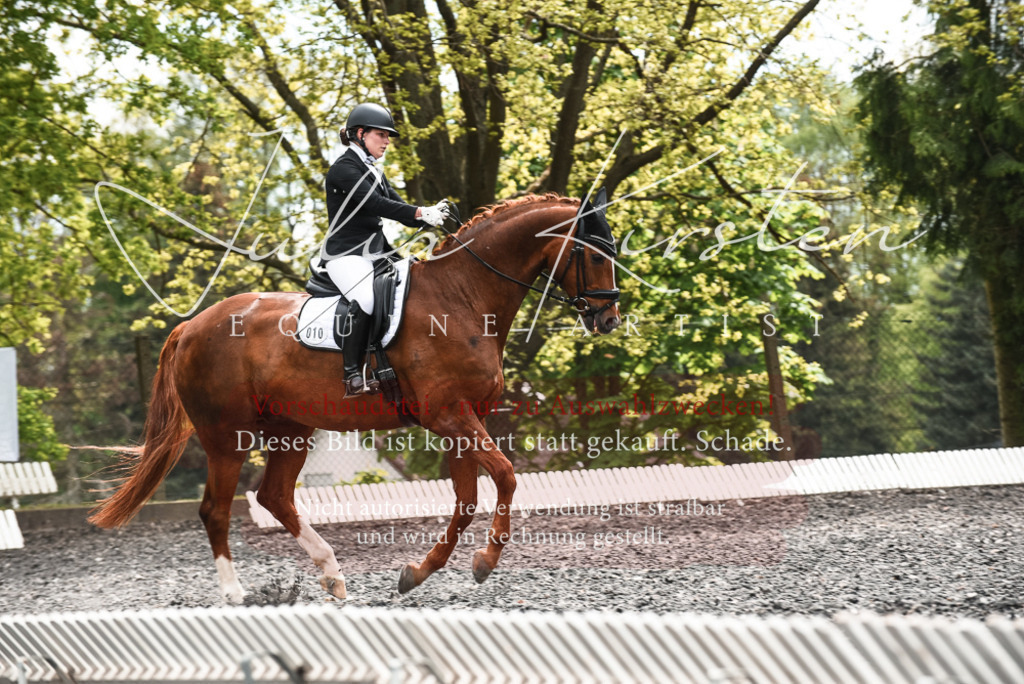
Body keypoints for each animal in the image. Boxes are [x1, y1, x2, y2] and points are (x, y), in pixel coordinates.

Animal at [89, 192, 622, 603]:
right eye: (597, 255)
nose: (609, 319)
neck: (462, 296)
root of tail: (191, 326)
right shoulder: (449, 415)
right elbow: (507, 477)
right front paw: (485, 562)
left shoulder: (465, 418)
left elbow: (466, 499)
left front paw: (417, 573)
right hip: (226, 435)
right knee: (216, 510)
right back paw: (236, 593)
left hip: (291, 428)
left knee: (275, 496)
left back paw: (333, 575)